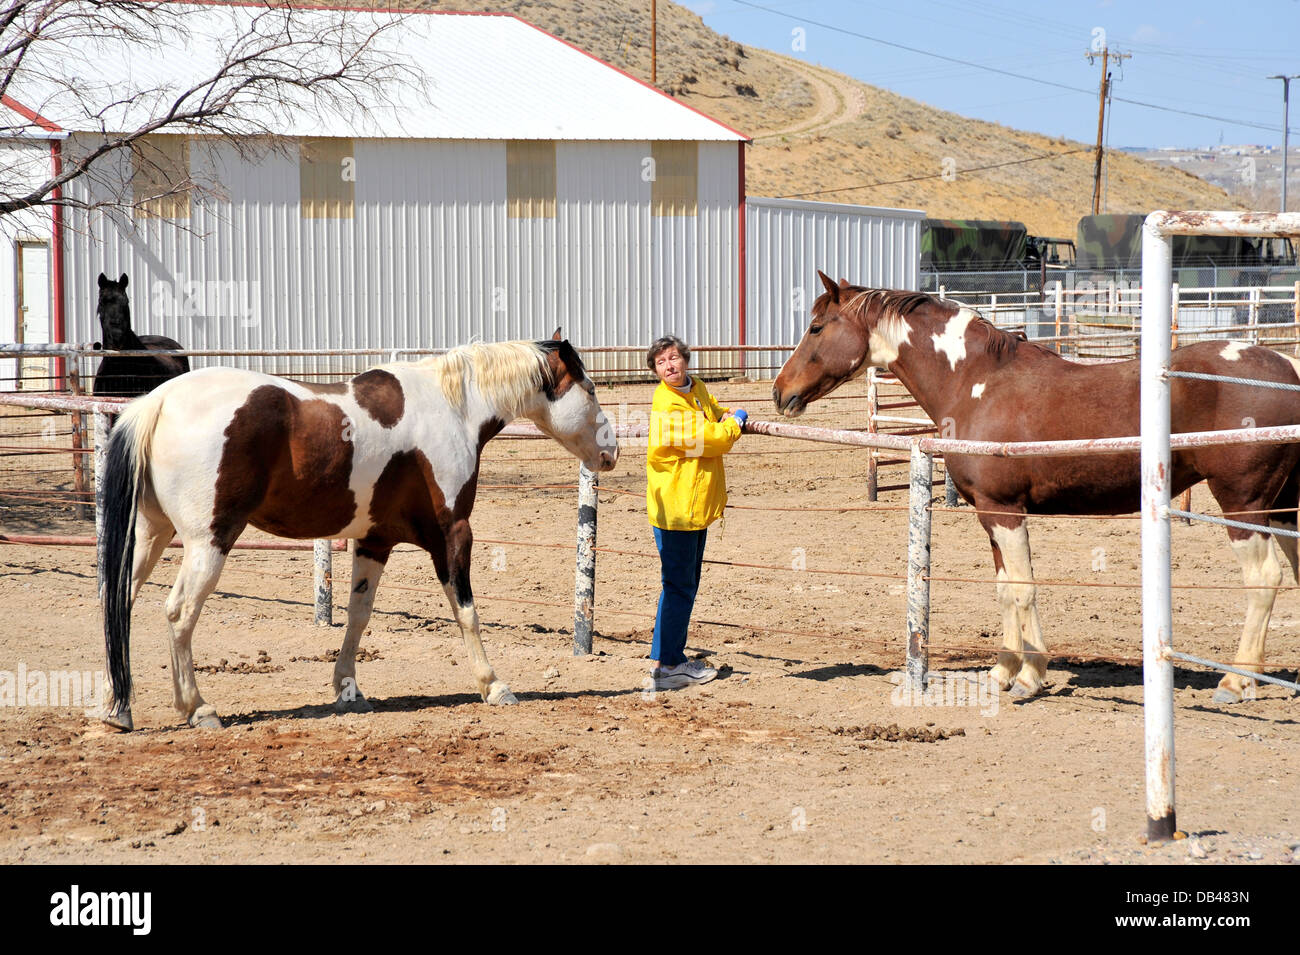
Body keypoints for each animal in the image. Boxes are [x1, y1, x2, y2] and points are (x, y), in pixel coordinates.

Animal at [98, 335, 616, 732]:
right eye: (590, 389)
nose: (611, 451)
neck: (453, 409)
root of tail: (159, 401)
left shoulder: (374, 542)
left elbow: (358, 616)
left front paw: (348, 689)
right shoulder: (453, 535)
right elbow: (466, 611)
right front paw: (493, 685)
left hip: (150, 534)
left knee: (117, 602)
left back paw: (115, 708)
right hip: (208, 542)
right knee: (179, 613)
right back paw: (198, 709)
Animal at [769, 274, 1300, 701]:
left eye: (817, 328)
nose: (779, 392)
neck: (976, 381)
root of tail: (1286, 372)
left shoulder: (1005, 511)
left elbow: (1023, 590)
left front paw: (1029, 678)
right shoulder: (990, 513)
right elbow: (1007, 590)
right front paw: (1005, 671)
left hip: (1243, 506)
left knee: (1265, 580)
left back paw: (1236, 681)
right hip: (1283, 506)